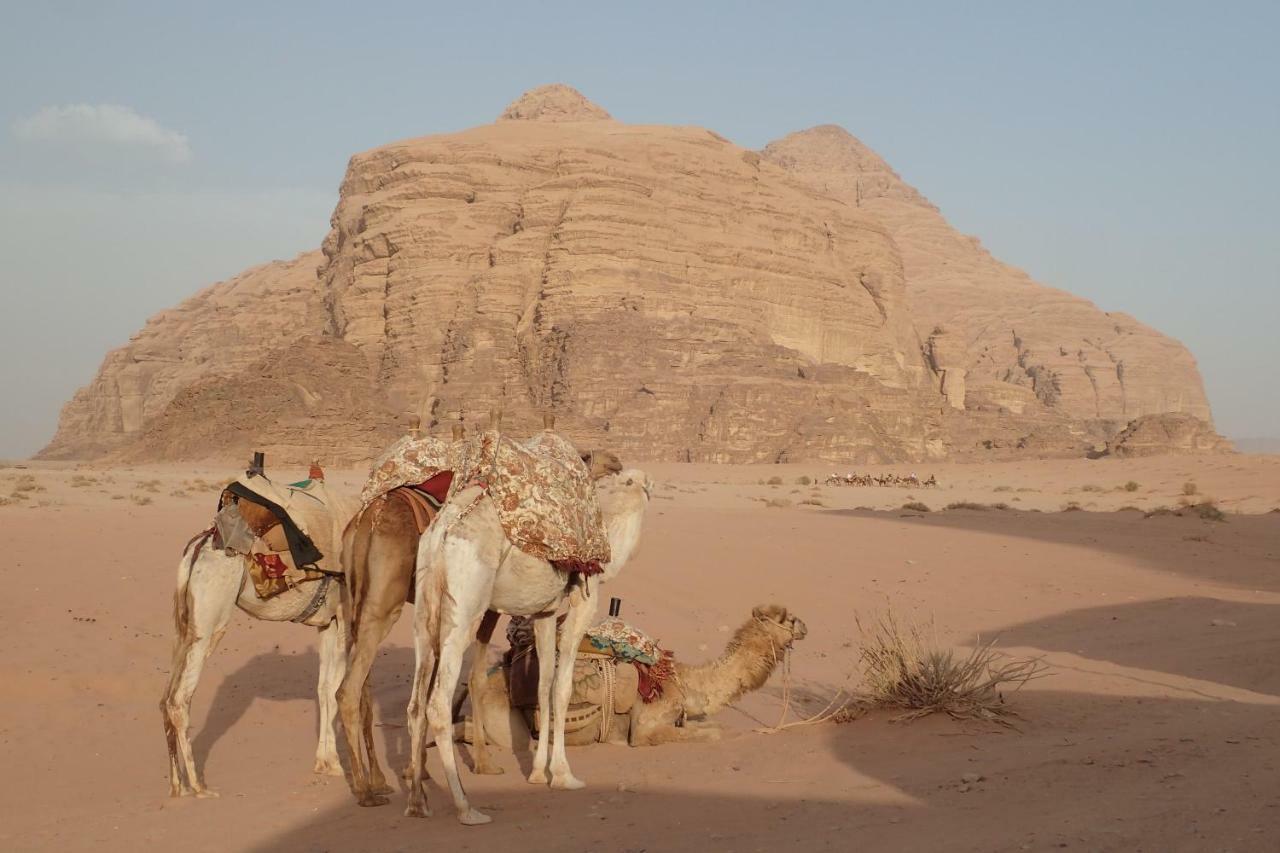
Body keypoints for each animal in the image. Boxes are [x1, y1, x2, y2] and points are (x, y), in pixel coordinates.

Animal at [160, 532, 350, 799]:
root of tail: (197, 548)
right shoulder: (348, 615)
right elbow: (337, 691)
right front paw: (336, 765)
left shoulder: (329, 621)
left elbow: (324, 690)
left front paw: (326, 763)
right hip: (210, 621)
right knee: (178, 700)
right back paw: (199, 787)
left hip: (183, 625)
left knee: (165, 699)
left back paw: (178, 787)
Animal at [407, 461, 650, 819]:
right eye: (631, 480)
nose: (645, 486)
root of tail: (442, 532)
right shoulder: (584, 598)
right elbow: (562, 688)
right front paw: (564, 775)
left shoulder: (544, 613)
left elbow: (543, 684)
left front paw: (538, 772)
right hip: (464, 603)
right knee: (438, 702)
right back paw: (466, 807)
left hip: (426, 605)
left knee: (416, 702)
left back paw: (417, 802)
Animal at [463, 601, 808, 747]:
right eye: (789, 619)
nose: (805, 626)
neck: (682, 681)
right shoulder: (645, 727)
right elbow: (709, 733)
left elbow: (709, 725)